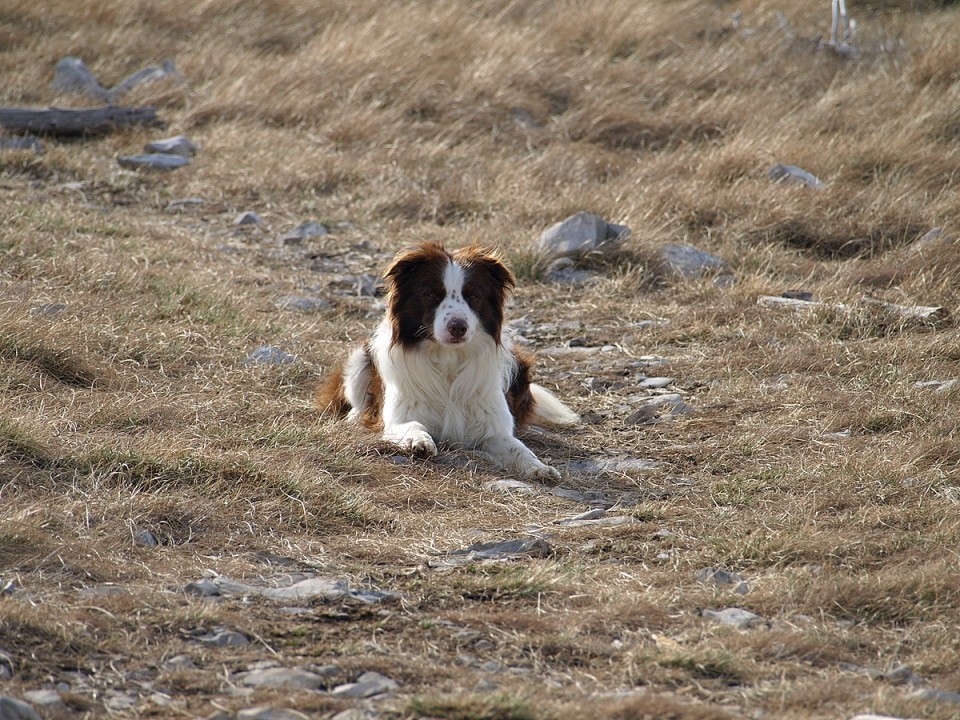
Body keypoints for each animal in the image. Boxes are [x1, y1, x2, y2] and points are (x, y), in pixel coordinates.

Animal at [322, 242, 576, 478]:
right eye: (431, 294)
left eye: (473, 296)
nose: (458, 327)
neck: (448, 360)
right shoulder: (397, 418)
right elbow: (411, 425)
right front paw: (419, 441)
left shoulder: (493, 428)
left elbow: (519, 448)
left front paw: (540, 468)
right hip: (360, 357)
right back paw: (355, 416)